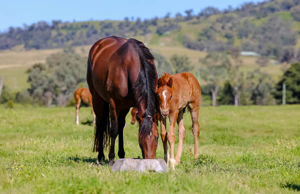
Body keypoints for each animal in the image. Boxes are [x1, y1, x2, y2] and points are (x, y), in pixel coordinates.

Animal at [86, 36, 159, 165]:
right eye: (140, 138)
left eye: (157, 137)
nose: (150, 162)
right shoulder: (114, 104)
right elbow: (114, 130)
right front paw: (111, 158)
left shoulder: (127, 106)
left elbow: (120, 127)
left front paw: (120, 155)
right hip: (97, 99)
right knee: (100, 125)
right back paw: (100, 156)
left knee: (119, 125)